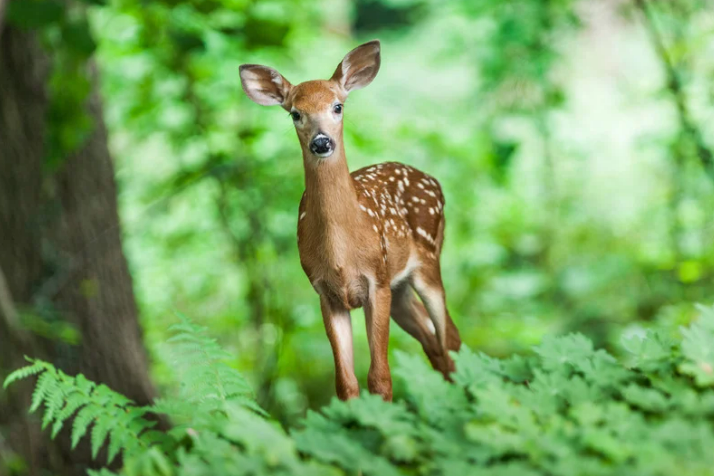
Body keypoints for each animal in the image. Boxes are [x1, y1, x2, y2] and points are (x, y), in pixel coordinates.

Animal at [239, 40, 461, 401]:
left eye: (338, 106)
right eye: (295, 113)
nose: (321, 142)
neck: (341, 253)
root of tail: (433, 181)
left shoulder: (377, 281)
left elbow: (380, 378)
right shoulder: (326, 293)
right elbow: (345, 383)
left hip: (427, 261)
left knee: (450, 338)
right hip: (400, 287)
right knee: (434, 343)